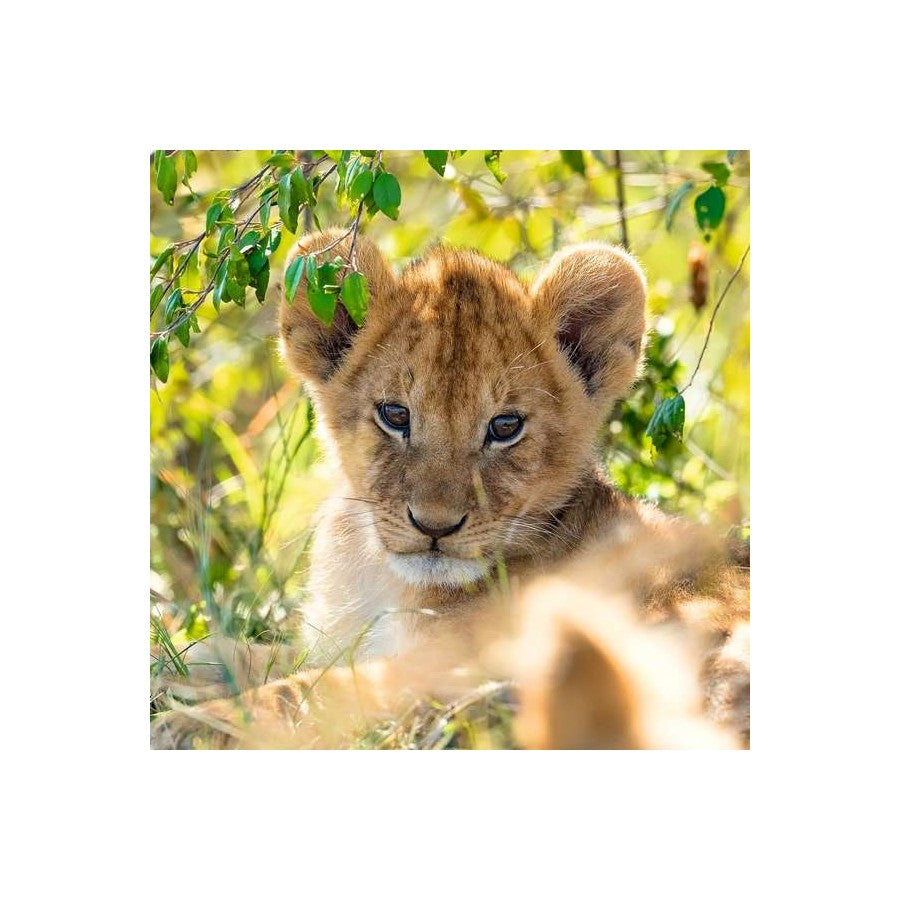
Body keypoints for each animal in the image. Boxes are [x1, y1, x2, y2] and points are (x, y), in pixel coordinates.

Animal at [151, 229, 749, 749]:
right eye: (395, 415)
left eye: (505, 426)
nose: (435, 526)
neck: (376, 575)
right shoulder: (334, 642)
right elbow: (239, 653)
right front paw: (172, 664)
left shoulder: (442, 665)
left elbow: (311, 692)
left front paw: (191, 722)